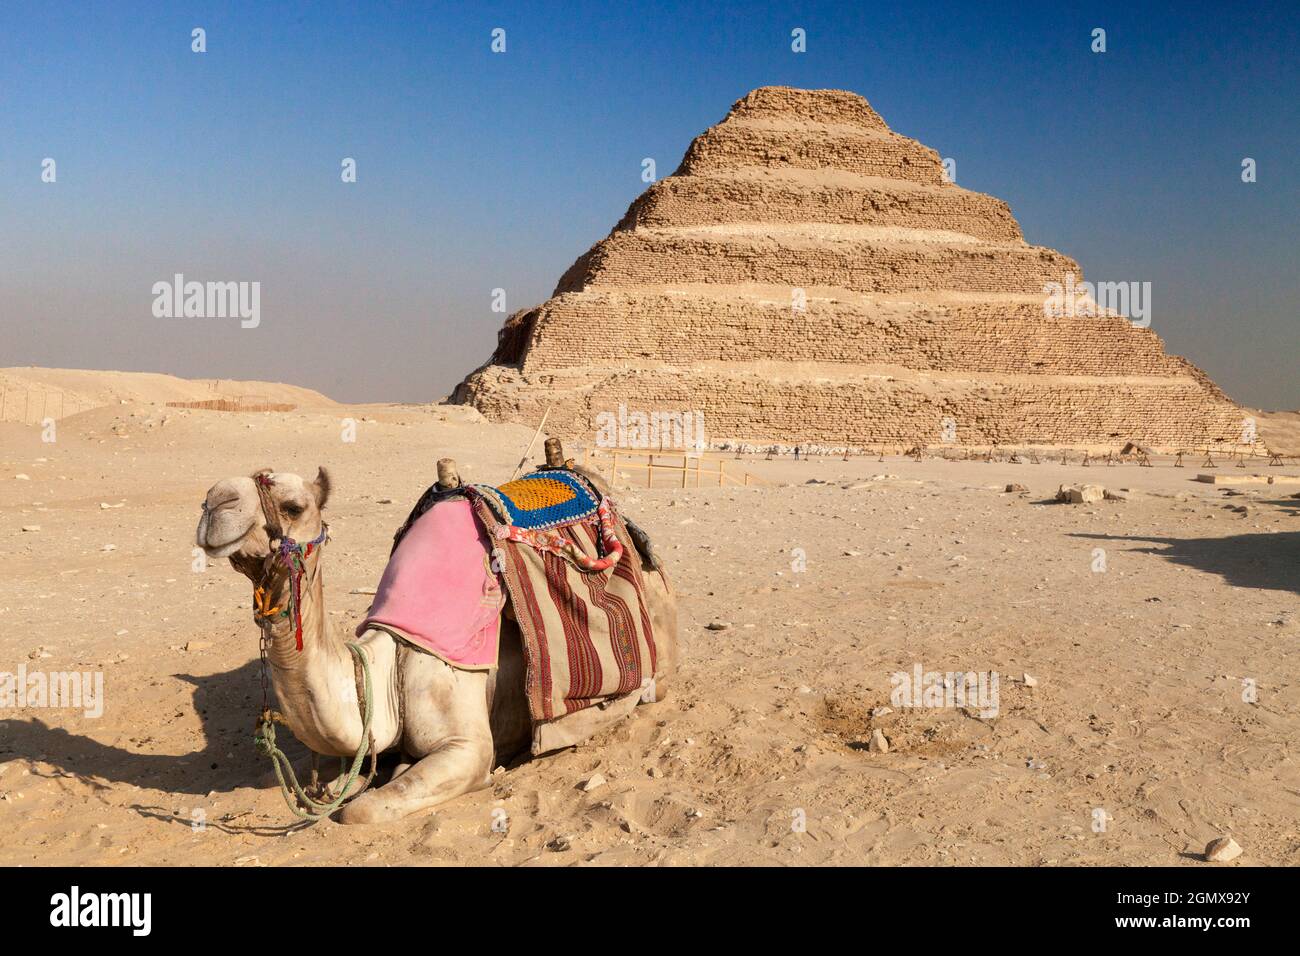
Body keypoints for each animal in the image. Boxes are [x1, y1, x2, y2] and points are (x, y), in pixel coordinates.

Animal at [197, 463, 681, 822]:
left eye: (293, 506)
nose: (215, 500)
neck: (386, 670)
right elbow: (317, 778)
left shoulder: (466, 745)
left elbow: (361, 811)